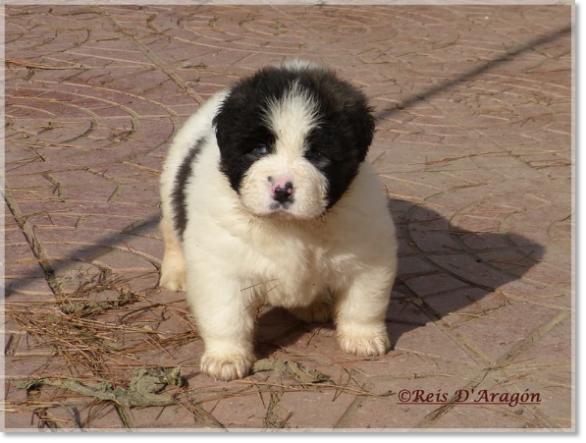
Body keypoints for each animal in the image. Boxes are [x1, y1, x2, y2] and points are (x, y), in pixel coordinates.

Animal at [159, 60, 396, 382]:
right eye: (260, 149)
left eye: (316, 153)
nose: (282, 189)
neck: (290, 226)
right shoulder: (221, 265)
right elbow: (226, 315)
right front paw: (226, 357)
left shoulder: (369, 252)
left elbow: (364, 302)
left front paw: (364, 338)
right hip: (170, 184)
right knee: (170, 230)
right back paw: (176, 272)